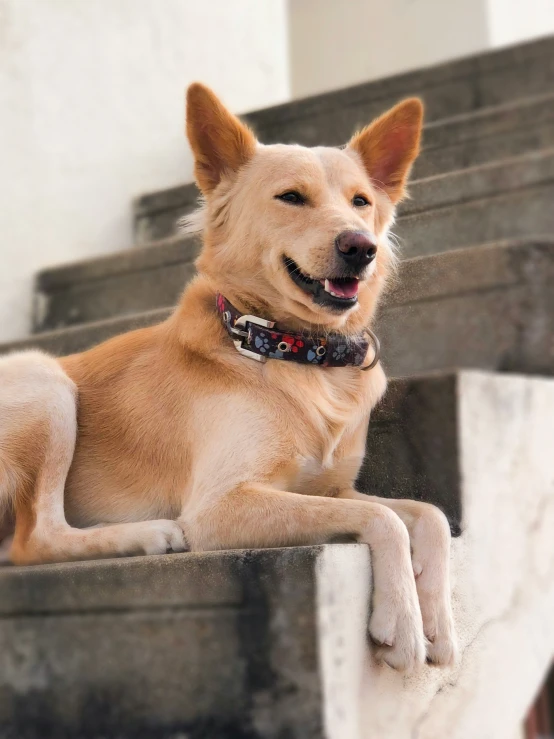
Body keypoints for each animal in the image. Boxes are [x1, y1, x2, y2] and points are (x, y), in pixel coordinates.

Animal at [0, 84, 452, 672]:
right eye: (291, 197)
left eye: (361, 201)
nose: (361, 247)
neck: (292, 351)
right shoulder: (219, 507)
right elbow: (386, 520)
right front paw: (403, 620)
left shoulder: (335, 488)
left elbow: (430, 514)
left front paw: (438, 619)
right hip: (45, 384)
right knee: (35, 539)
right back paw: (148, 533)